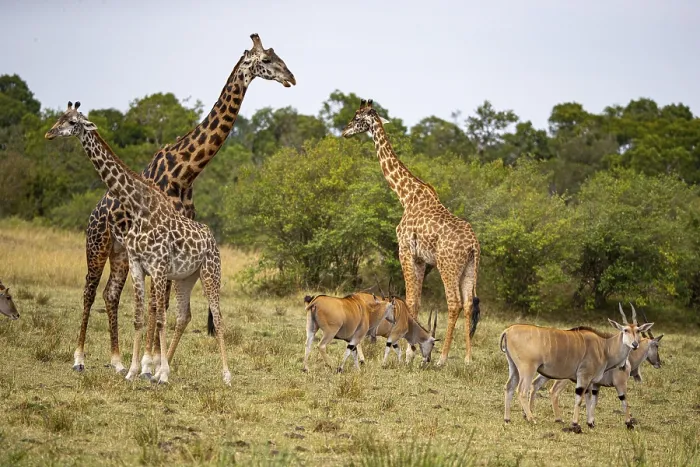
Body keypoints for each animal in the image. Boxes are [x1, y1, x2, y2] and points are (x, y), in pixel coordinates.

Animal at [46, 102, 230, 385]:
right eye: (60, 117)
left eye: (73, 122)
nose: (50, 133)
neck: (139, 206)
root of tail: (213, 239)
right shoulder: (137, 264)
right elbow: (139, 317)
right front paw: (135, 371)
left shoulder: (158, 266)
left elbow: (159, 316)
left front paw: (157, 373)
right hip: (181, 276)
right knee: (175, 312)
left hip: (210, 273)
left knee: (217, 318)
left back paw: (226, 376)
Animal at [74, 33, 295, 374]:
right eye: (267, 60)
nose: (291, 78)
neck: (185, 172)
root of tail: (95, 210)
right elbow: (158, 304)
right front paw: (152, 363)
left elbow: (161, 303)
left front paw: (154, 361)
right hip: (97, 244)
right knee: (88, 291)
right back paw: (80, 358)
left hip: (120, 253)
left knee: (110, 294)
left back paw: (117, 361)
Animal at [342, 99, 481, 365]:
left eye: (357, 117)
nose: (344, 132)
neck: (405, 195)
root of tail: (473, 246)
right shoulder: (421, 259)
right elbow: (416, 301)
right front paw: (412, 350)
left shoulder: (405, 250)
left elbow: (411, 300)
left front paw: (409, 352)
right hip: (470, 268)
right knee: (469, 304)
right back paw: (468, 359)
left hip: (448, 266)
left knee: (454, 303)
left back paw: (443, 358)